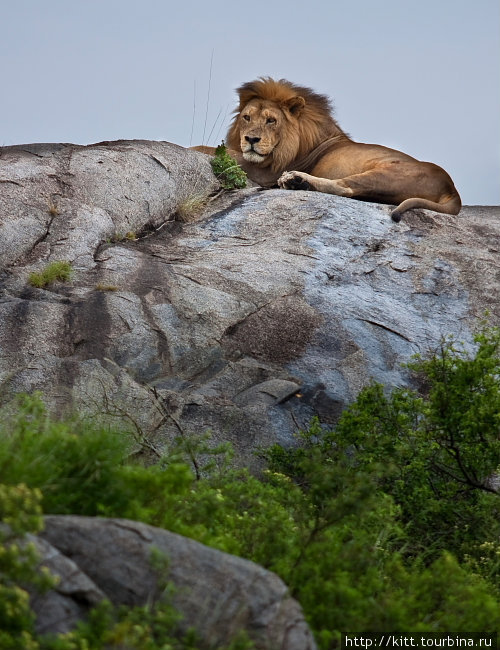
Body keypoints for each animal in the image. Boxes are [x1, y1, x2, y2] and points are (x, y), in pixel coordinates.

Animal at [194, 76, 460, 220]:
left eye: (271, 120)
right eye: (247, 118)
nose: (251, 139)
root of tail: (452, 187)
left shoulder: (266, 171)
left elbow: (210, 149)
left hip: (386, 172)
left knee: (346, 188)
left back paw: (296, 180)